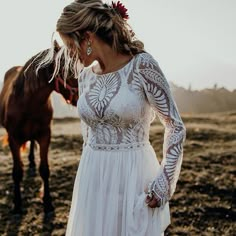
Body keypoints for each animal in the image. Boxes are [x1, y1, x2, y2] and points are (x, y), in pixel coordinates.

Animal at [0, 42, 79, 214]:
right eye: (68, 70)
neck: (28, 104)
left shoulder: (44, 136)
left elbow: (44, 170)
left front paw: (47, 202)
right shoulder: (13, 139)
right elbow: (17, 172)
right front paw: (17, 204)